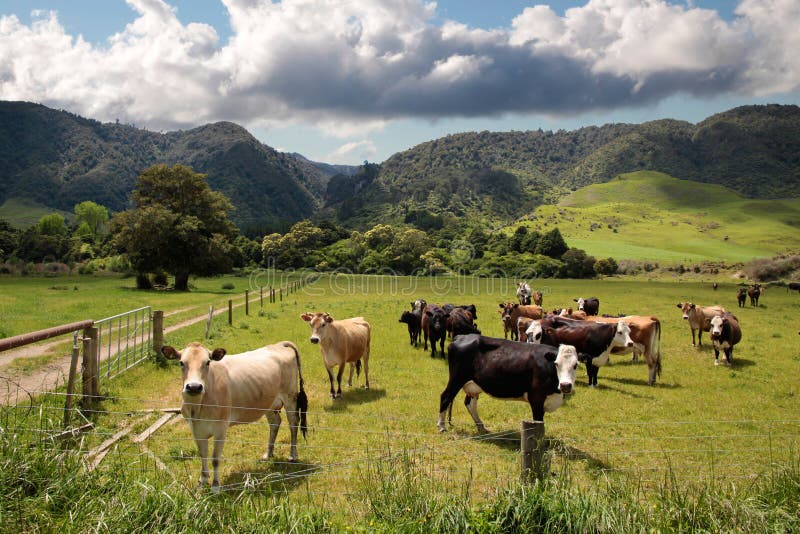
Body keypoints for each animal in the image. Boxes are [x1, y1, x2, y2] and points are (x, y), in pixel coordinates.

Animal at [159, 344, 306, 494]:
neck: (198, 407)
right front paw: (202, 482)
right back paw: (268, 454)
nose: (194, 387)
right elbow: (203, 455)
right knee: (275, 423)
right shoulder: (196, 429)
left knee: (293, 423)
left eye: (208, 362)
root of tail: (279, 344)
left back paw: (292, 455)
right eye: (181, 363)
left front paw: (215, 486)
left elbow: (215, 459)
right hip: (269, 403)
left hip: (290, 397)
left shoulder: (221, 429)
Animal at [434, 340, 584, 436]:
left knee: (470, 403)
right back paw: (441, 426)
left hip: (473, 384)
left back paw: (481, 427)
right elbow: (538, 422)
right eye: (557, 363)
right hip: (457, 378)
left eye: (575, 365)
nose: (565, 385)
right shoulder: (536, 399)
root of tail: (459, 338)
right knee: (446, 396)